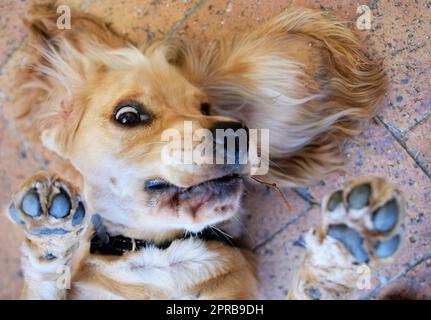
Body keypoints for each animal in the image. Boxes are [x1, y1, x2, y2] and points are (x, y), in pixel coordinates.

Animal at [5, 1, 402, 300]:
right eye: (127, 115)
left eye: (205, 107)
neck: (162, 253)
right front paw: (48, 234)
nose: (237, 132)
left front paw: (340, 248)